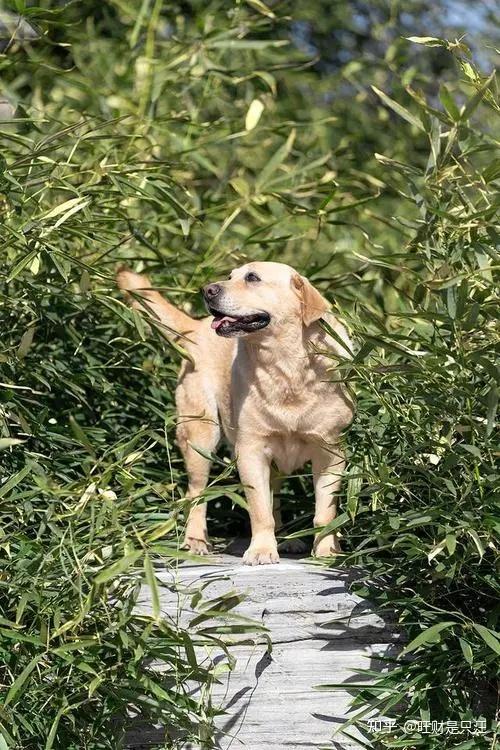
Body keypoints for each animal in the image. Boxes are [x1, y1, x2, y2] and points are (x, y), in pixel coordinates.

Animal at [117, 262, 354, 568]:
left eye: (252, 278)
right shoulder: (250, 450)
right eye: (230, 276)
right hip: (201, 437)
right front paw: (262, 550)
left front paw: (327, 551)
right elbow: (259, 509)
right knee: (196, 493)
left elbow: (325, 511)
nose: (207, 290)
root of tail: (196, 326)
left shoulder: (331, 451)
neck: (286, 366)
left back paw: (286, 540)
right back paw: (196, 541)